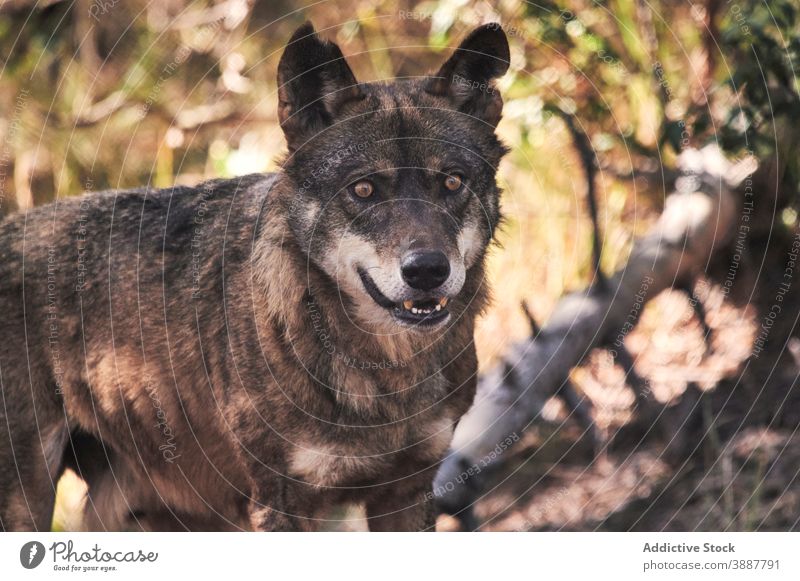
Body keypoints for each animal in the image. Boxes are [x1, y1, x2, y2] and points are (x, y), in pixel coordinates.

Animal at [0, 21, 510, 532]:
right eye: (364, 189)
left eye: (452, 182)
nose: (427, 270)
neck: (385, 370)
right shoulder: (279, 503)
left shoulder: (407, 491)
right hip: (29, 500)